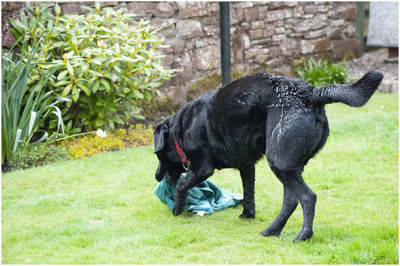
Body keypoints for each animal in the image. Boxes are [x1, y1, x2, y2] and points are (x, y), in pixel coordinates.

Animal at [152, 70, 382, 241]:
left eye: (159, 155)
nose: (157, 176)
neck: (180, 131)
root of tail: (311, 94)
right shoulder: (247, 166)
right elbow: (248, 194)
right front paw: (247, 215)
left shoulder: (202, 168)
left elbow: (182, 185)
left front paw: (177, 210)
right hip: (288, 165)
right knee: (291, 200)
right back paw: (272, 230)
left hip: (279, 160)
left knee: (307, 197)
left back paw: (303, 235)